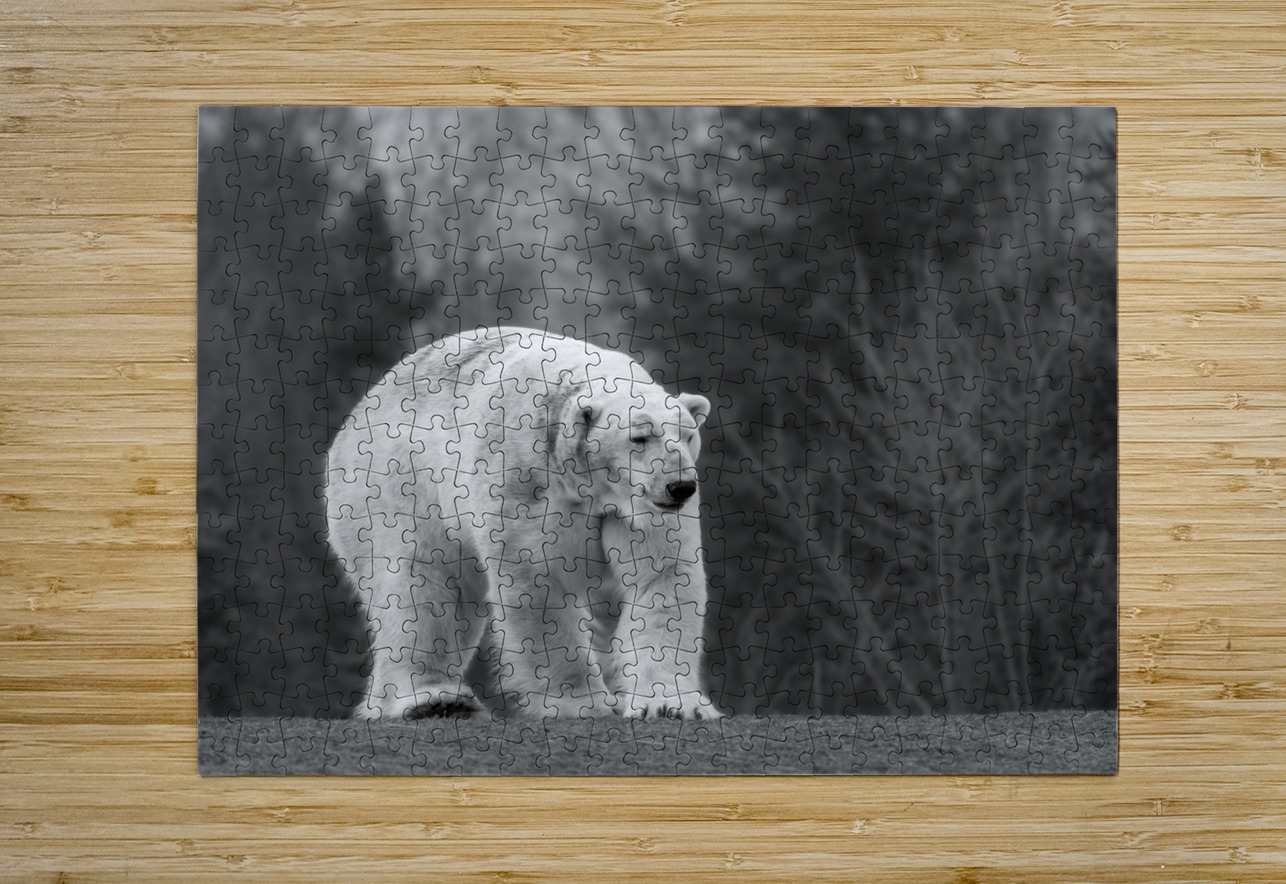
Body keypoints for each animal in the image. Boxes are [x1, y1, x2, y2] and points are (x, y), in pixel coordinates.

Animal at [326, 326, 720, 720]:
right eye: (639, 437)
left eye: (688, 435)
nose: (679, 486)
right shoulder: (521, 477)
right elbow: (537, 583)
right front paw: (579, 703)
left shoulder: (638, 509)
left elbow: (662, 578)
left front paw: (672, 704)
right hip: (397, 488)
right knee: (423, 586)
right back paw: (433, 699)